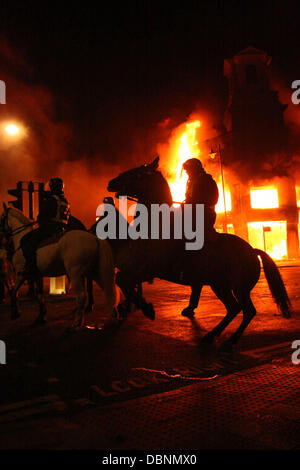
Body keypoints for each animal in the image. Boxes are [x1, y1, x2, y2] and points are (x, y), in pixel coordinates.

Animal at [105, 157, 290, 348]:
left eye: (137, 173)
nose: (111, 183)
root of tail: (252, 251)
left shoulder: (148, 270)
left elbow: (122, 280)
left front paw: (147, 308)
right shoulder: (136, 269)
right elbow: (121, 279)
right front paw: (136, 306)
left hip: (237, 288)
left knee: (247, 311)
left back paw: (229, 339)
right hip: (221, 285)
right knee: (235, 309)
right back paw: (213, 335)